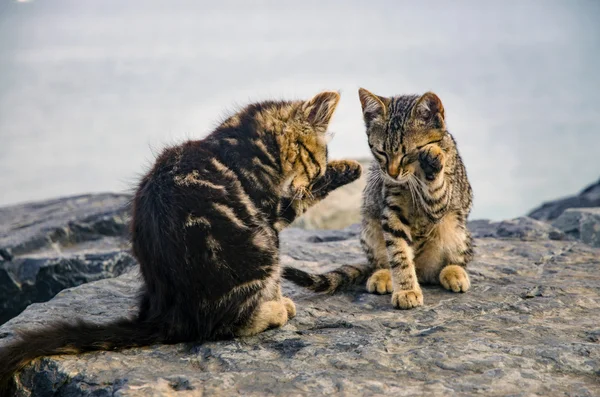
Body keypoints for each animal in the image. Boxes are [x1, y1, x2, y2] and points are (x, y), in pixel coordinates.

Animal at [0, 90, 360, 390]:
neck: (241, 139)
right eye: (315, 162)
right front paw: (345, 168)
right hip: (261, 248)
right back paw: (276, 309)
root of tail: (168, 314)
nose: (317, 173)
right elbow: (300, 202)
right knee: (227, 325)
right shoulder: (272, 209)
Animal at [284, 88, 476, 308]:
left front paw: (433, 160)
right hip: (370, 226)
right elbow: (399, 254)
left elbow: (436, 190)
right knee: (380, 262)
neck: (411, 180)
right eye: (381, 152)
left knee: (453, 262)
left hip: (456, 228)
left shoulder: (442, 201)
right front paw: (407, 289)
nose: (392, 173)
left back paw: (454, 272)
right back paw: (382, 275)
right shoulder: (392, 210)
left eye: (408, 154)